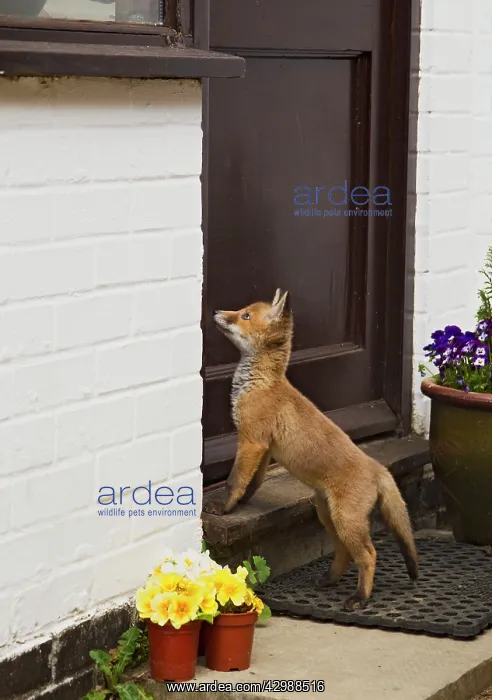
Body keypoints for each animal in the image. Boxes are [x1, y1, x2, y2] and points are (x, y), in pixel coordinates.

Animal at [204, 289, 419, 611]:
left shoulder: (252, 440)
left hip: (346, 520)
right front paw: (242, 505)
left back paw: (360, 597)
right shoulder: (265, 448)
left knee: (368, 554)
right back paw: (329, 580)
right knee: (345, 551)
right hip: (326, 513)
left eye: (244, 315)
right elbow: (252, 482)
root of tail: (378, 468)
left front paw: (224, 508)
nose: (216, 311)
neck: (260, 383)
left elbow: (235, 480)